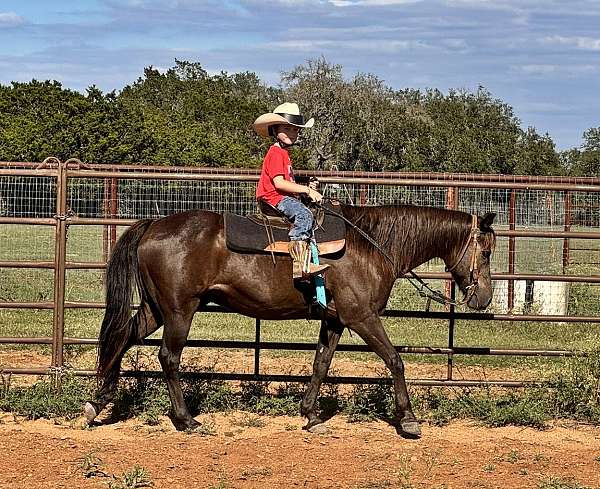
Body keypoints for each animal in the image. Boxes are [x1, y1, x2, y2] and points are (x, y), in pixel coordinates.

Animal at [84, 203, 496, 438]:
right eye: (488, 250)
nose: (484, 297)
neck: (370, 244)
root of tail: (153, 225)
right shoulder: (362, 316)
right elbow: (395, 360)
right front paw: (408, 420)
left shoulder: (335, 320)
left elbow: (321, 365)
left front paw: (310, 414)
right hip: (179, 311)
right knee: (168, 358)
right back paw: (186, 420)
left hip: (156, 309)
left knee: (122, 337)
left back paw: (97, 403)